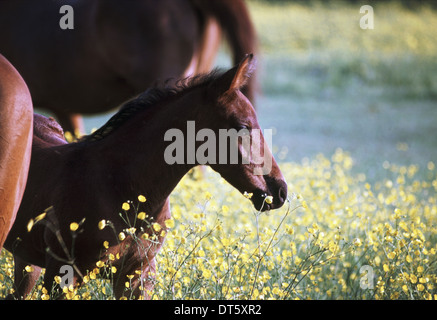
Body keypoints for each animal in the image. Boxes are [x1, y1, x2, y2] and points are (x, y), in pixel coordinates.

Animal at [5, 55, 288, 300]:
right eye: (242, 126)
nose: (280, 191)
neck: (118, 185)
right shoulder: (62, 275)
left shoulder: (137, 276)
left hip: (27, 262)